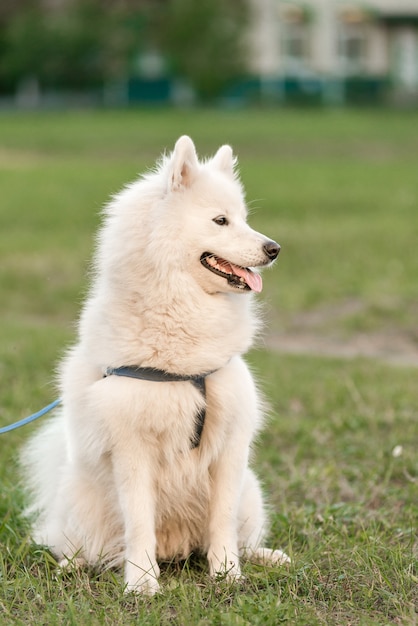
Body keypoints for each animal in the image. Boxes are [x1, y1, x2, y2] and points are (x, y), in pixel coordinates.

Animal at [22, 135, 290, 588]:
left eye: (244, 219)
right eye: (221, 220)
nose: (274, 249)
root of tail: (176, 548)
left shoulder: (231, 444)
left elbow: (222, 521)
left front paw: (228, 575)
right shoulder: (132, 447)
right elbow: (139, 521)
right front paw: (143, 582)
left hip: (252, 491)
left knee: (243, 535)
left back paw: (267, 557)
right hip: (81, 497)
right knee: (76, 543)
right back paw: (72, 565)